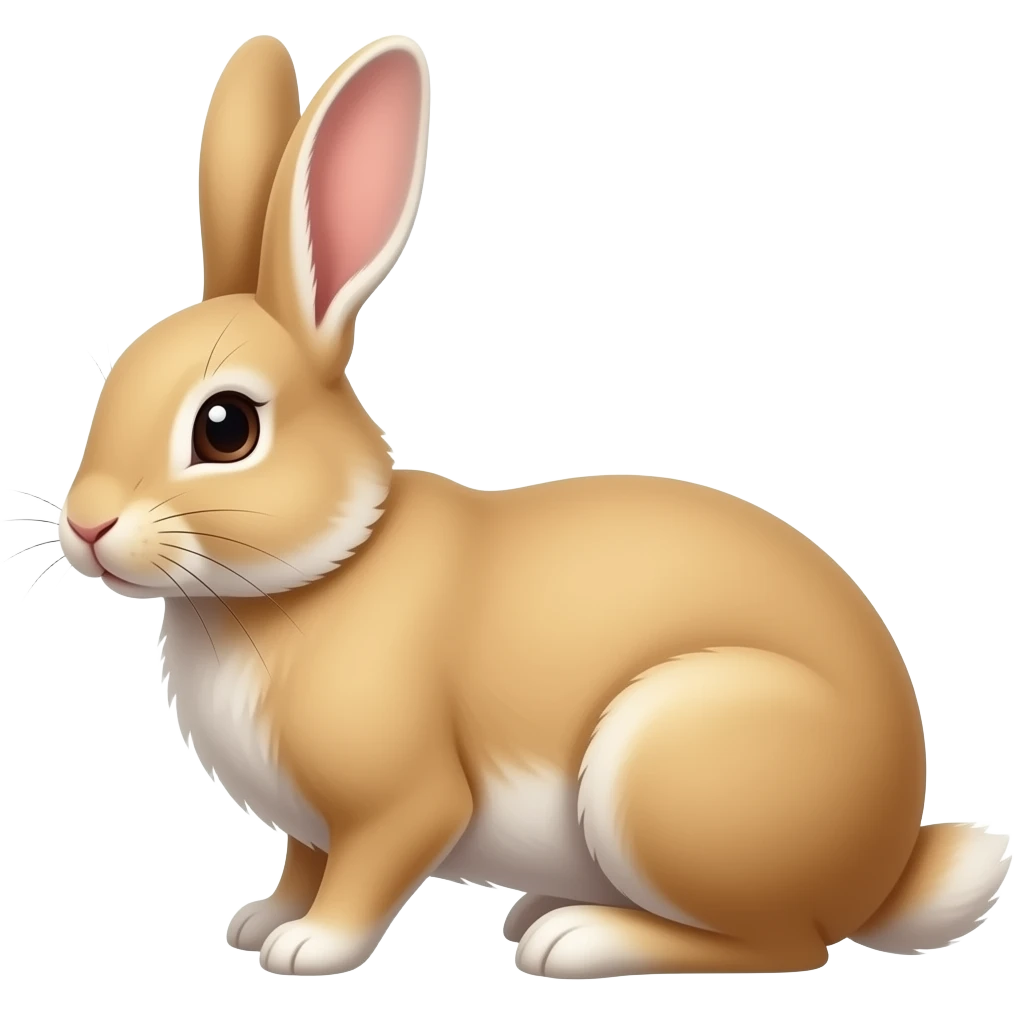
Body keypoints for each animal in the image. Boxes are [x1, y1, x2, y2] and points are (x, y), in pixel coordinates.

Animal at [59, 33, 1010, 980]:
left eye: (226, 427)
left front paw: (309, 946)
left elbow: (366, 872)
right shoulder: (310, 826)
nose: (87, 526)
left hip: (667, 767)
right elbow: (302, 862)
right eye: (110, 382)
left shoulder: (400, 803)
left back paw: (578, 938)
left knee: (780, 946)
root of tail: (885, 866)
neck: (330, 565)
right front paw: (259, 922)